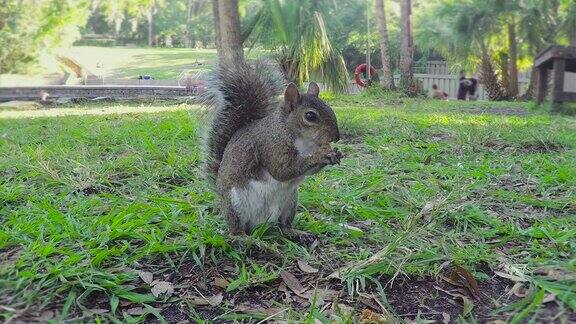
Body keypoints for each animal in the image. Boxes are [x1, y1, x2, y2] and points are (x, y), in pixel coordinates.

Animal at [200, 62, 342, 240]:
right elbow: (281, 170)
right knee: (235, 229)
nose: (336, 136)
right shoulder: (271, 145)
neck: (304, 143)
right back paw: (247, 239)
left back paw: (296, 233)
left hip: (290, 202)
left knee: (284, 226)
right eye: (310, 116)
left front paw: (334, 154)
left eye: (330, 108)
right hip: (234, 204)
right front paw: (321, 155)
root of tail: (260, 225)